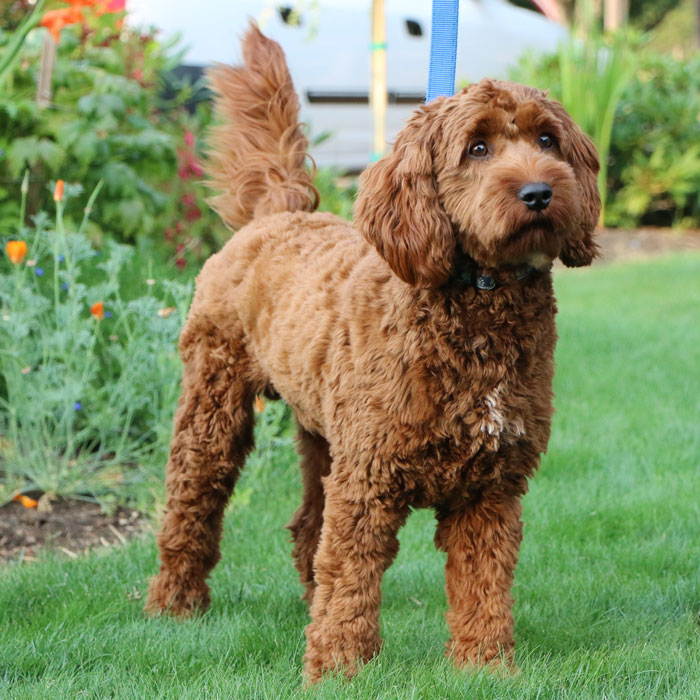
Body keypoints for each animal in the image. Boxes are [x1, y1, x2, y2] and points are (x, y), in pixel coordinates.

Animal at [144, 23, 600, 684]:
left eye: (547, 139)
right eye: (477, 148)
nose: (539, 192)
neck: (479, 301)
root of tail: (281, 212)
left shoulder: (490, 490)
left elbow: (483, 585)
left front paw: (485, 668)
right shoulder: (368, 479)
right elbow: (351, 576)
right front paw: (335, 669)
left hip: (324, 433)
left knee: (309, 527)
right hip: (214, 404)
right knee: (192, 500)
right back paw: (174, 603)